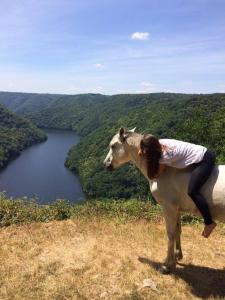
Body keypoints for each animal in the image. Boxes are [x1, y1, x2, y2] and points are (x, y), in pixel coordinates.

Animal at [103, 127, 225, 274]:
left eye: (113, 145)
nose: (106, 164)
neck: (164, 171)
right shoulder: (177, 209)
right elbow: (178, 231)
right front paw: (178, 255)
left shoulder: (168, 208)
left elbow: (170, 234)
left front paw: (167, 265)